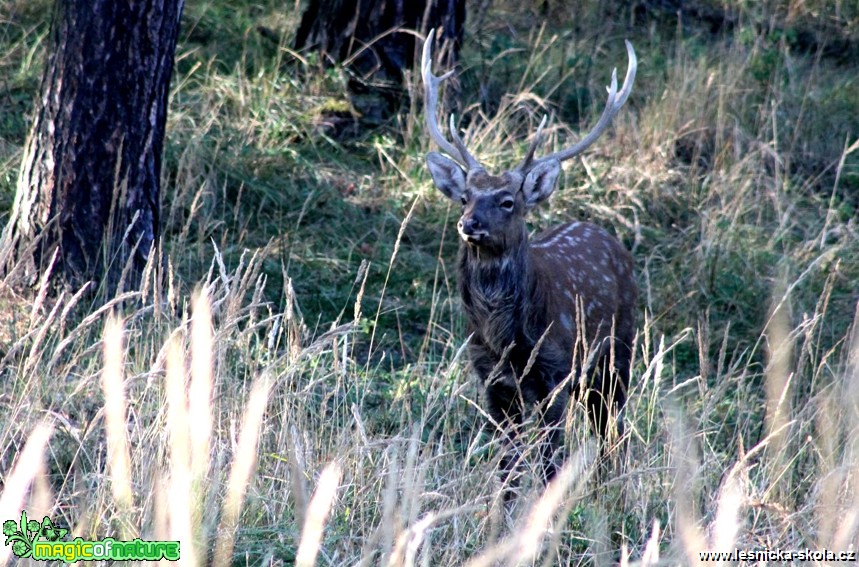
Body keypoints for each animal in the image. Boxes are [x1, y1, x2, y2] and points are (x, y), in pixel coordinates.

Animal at [424, 31, 640, 490]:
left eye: (508, 201)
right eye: (465, 197)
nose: (469, 224)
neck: (507, 341)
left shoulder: (554, 376)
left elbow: (548, 463)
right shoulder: (490, 380)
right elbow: (507, 464)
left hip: (618, 351)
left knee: (612, 430)